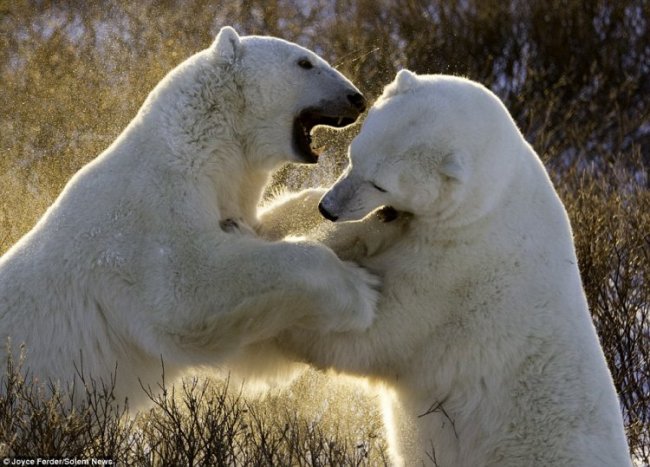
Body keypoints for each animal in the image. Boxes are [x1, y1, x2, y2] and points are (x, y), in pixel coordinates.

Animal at [0, 27, 380, 410]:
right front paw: (360, 290)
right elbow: (188, 292)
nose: (357, 98)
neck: (197, 145)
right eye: (305, 62)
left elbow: (260, 231)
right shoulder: (151, 212)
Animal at [266, 70, 632, 467]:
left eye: (381, 183)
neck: (488, 203)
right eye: (352, 156)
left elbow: (379, 331)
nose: (328, 208)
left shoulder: (455, 272)